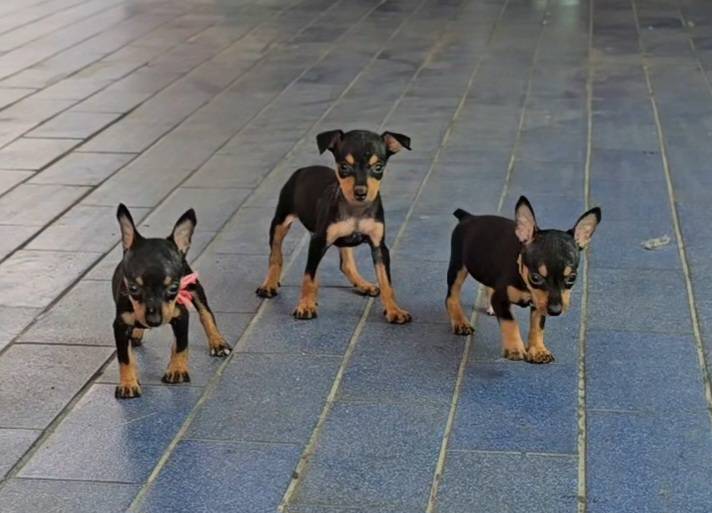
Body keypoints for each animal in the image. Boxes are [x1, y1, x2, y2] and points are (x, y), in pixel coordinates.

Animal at [111, 204, 231, 399]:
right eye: (133, 289)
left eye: (174, 288)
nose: (154, 320)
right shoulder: (120, 326)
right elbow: (125, 358)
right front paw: (128, 383)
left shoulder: (181, 316)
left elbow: (182, 345)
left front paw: (177, 369)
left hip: (194, 287)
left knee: (206, 314)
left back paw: (217, 342)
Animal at [256, 129, 412, 324]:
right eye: (344, 167)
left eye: (378, 167)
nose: (361, 192)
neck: (356, 210)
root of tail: (304, 169)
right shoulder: (318, 241)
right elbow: (308, 277)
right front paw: (305, 306)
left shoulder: (379, 246)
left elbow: (386, 281)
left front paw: (394, 310)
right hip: (281, 221)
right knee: (276, 255)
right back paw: (269, 284)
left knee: (346, 263)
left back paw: (364, 285)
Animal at [445, 196, 601, 363]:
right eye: (535, 277)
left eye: (572, 278)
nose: (555, 310)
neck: (525, 284)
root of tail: (469, 217)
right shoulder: (502, 299)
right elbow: (510, 322)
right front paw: (514, 348)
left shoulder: (540, 304)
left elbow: (537, 326)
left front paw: (538, 350)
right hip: (458, 267)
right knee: (451, 297)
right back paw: (460, 322)